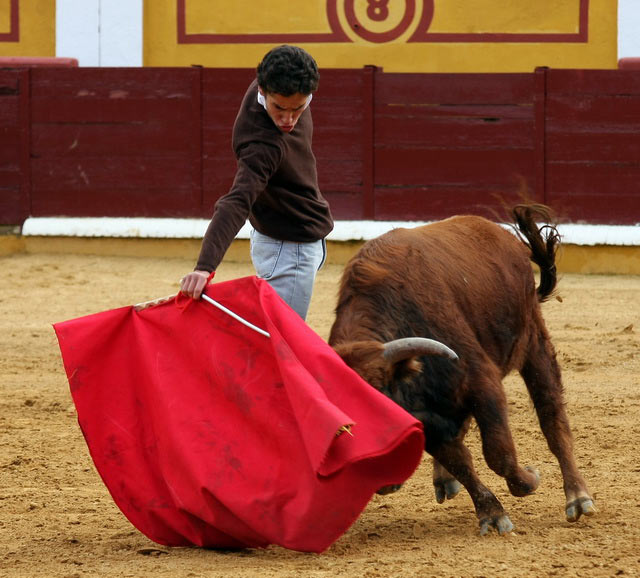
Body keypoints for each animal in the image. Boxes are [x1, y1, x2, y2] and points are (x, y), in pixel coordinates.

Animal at [330, 205, 596, 532]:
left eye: (380, 400)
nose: (382, 481)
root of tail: (503, 236)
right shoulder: (428, 419)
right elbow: (461, 461)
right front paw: (492, 514)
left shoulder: (482, 383)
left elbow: (498, 453)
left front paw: (530, 479)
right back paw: (445, 480)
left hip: (534, 341)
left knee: (552, 415)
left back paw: (578, 498)